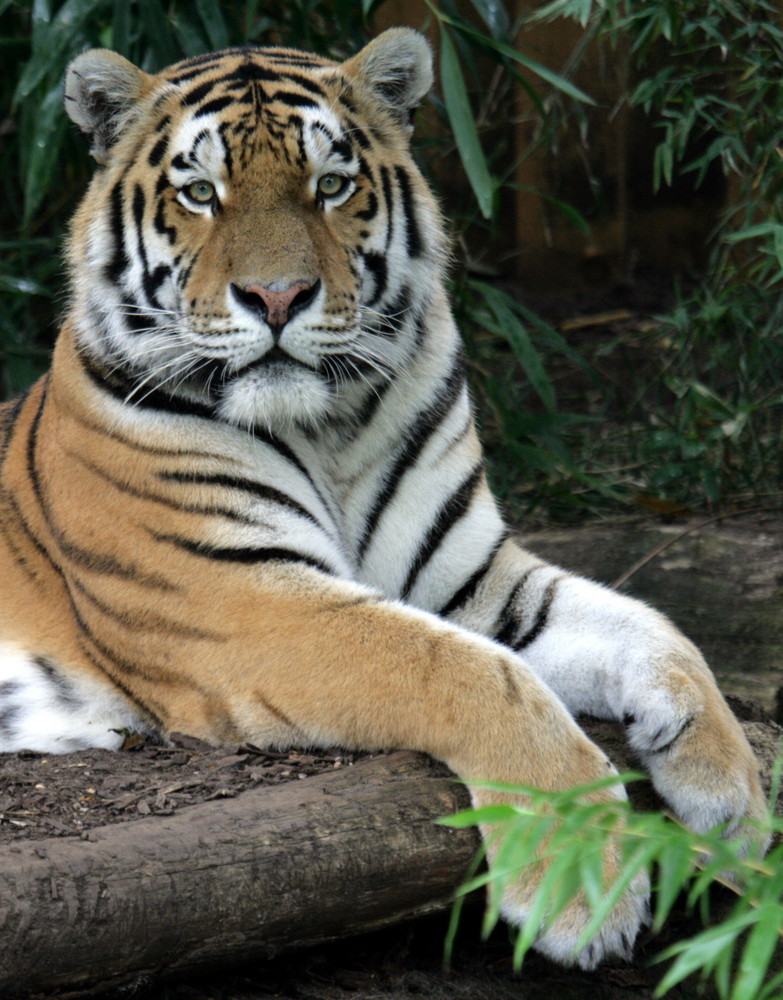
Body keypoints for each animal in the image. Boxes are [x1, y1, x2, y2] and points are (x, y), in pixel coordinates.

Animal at [0, 29, 772, 968]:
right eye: (200, 194)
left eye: (330, 185)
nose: (278, 297)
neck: (326, 425)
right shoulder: (233, 596)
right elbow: (466, 670)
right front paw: (577, 879)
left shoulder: (471, 578)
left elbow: (656, 630)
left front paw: (733, 803)